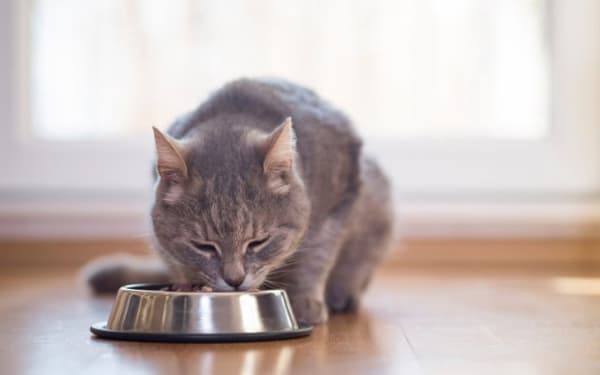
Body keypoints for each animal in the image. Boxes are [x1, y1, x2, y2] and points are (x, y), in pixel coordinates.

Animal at [85, 78, 394, 324]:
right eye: (203, 246)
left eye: (259, 242)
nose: (234, 280)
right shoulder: (162, 238)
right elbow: (175, 259)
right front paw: (189, 285)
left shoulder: (337, 205)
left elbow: (315, 257)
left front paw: (305, 301)